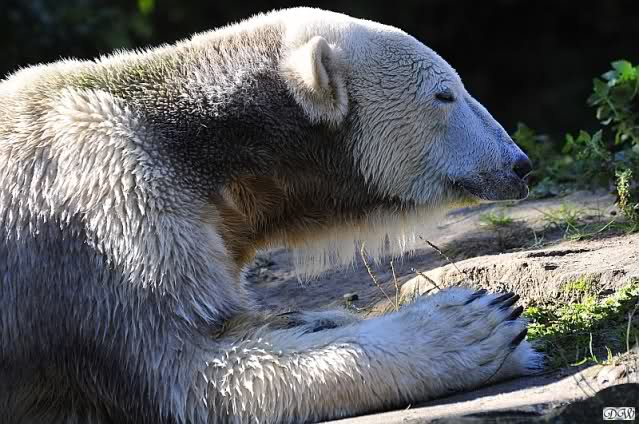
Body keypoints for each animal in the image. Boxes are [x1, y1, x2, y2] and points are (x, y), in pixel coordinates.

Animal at [0, 7, 539, 424]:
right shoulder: (112, 220)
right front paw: (479, 321)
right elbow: (196, 373)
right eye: (444, 94)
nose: (519, 164)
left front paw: (312, 317)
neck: (195, 139)